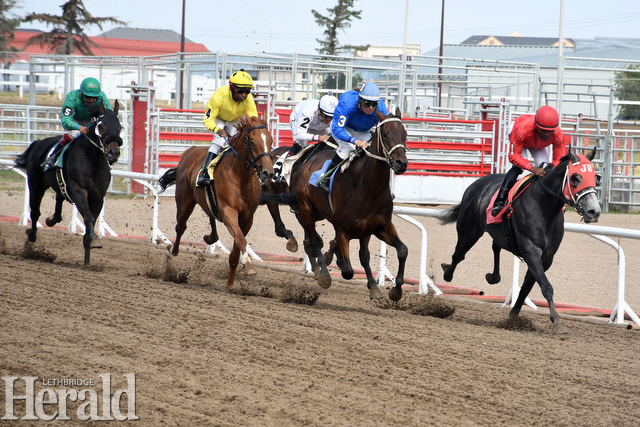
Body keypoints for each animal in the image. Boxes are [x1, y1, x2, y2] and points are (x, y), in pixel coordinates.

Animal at [14, 101, 122, 266]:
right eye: (101, 126)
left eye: (119, 127)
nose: (113, 153)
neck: (92, 161)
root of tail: (38, 142)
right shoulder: (78, 191)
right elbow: (89, 218)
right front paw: (94, 240)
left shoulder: (98, 197)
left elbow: (91, 220)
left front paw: (88, 257)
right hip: (36, 184)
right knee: (35, 212)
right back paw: (32, 236)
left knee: (59, 199)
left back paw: (51, 220)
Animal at [159, 115, 274, 292]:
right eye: (253, 142)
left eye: (270, 140)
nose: (268, 172)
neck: (241, 176)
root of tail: (190, 151)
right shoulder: (228, 211)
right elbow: (241, 239)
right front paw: (249, 267)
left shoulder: (247, 218)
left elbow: (236, 249)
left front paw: (230, 284)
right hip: (185, 201)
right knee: (181, 226)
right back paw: (174, 249)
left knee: (210, 217)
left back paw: (210, 237)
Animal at [262, 108, 408, 302]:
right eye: (385, 134)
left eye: (405, 134)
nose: (401, 163)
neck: (367, 187)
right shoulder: (342, 229)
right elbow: (347, 270)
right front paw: (332, 261)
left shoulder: (377, 227)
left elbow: (397, 251)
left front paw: (390, 289)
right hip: (303, 208)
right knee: (309, 240)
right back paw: (321, 272)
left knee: (310, 240)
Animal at [440, 147, 600, 334]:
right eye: (576, 178)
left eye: (595, 177)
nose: (593, 211)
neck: (543, 207)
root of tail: (475, 184)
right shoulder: (531, 251)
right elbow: (546, 286)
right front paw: (557, 321)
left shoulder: (546, 257)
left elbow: (527, 287)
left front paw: (513, 316)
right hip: (469, 231)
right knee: (459, 255)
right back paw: (447, 273)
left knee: (495, 246)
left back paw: (493, 276)